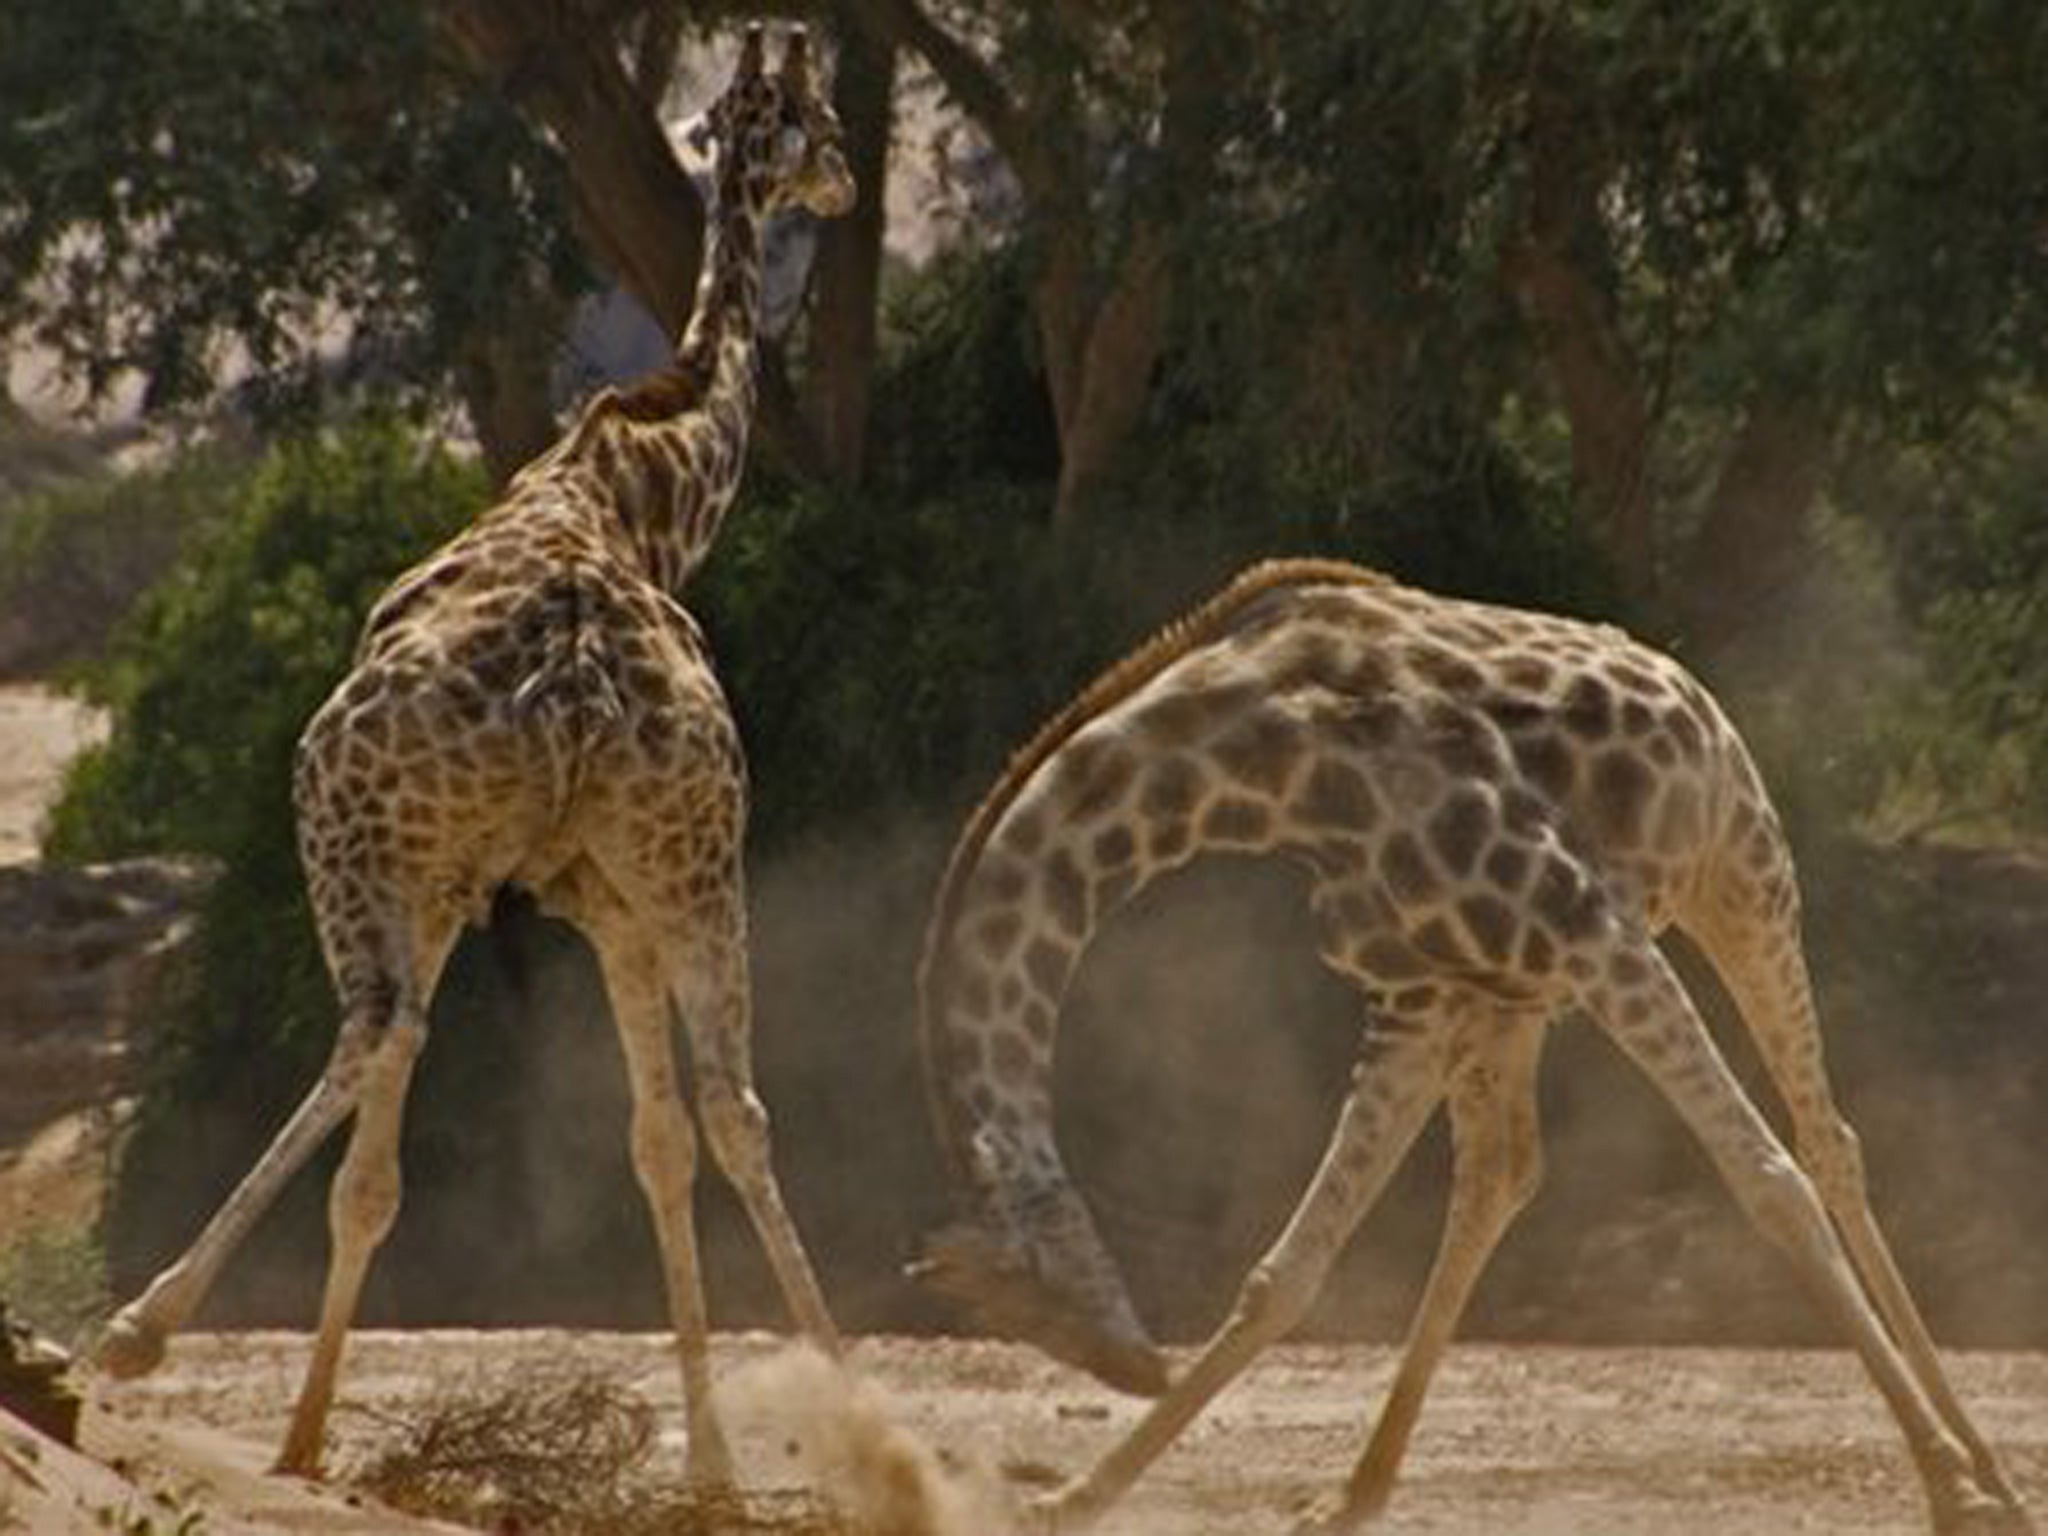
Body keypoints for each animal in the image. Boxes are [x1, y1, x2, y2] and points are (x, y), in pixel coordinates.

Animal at [96, 24, 856, 1482]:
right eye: (828, 121)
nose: (843, 189)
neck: (645, 485)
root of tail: (570, 673)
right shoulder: (600, 895)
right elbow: (660, 1139)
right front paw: (709, 1457)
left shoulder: (488, 881)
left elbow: (412, 1161)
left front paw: (297, 1426)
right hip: (685, 851)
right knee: (729, 1102)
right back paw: (834, 1400)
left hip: (377, 830)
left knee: (383, 1029)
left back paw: (151, 1337)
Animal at [917, 561, 2031, 1536]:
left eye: (1035, 1297)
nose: (1134, 1363)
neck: (1256, 767)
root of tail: (1692, 690)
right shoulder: (1420, 991)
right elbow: (1288, 1266)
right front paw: (1071, 1498)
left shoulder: (1584, 923)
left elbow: (1766, 1181)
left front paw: (1951, 1490)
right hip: (1510, 998)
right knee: (1503, 1167)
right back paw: (1355, 1490)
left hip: (1740, 877)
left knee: (1824, 1143)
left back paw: (1986, 1475)